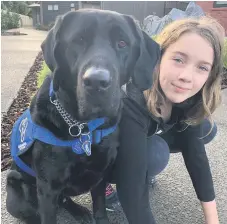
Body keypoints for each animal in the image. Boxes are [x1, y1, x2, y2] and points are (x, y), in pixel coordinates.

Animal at [5, 8, 160, 224]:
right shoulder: (47, 188)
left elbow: (100, 208)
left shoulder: (101, 174)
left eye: (122, 43)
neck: (83, 128)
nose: (96, 82)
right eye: (78, 40)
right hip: (17, 191)